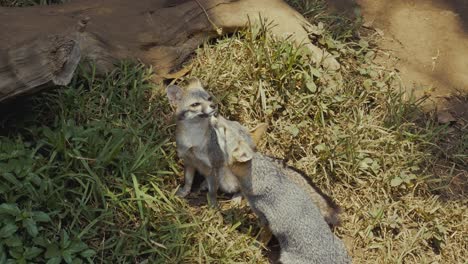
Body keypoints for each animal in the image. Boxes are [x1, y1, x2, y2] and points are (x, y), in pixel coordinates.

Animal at [212, 117, 352, 264]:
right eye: (231, 122)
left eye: (224, 131)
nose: (216, 115)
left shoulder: (267, 220)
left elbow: (263, 239)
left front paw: (253, 249)